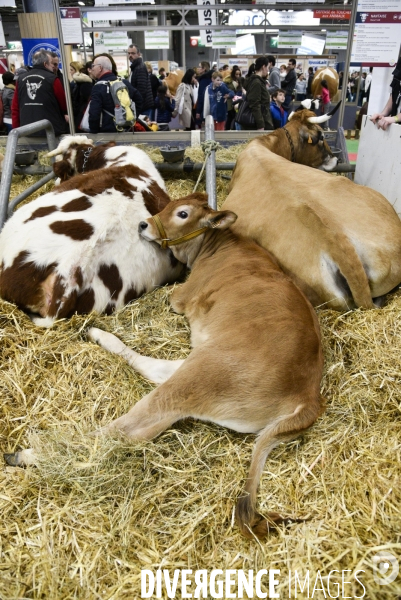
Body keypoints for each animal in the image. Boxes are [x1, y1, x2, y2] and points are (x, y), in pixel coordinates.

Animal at [5, 192, 324, 540]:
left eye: (182, 213)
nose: (144, 224)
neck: (220, 244)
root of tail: (309, 396)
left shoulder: (180, 297)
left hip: (201, 375)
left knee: (125, 428)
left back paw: (27, 453)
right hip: (198, 370)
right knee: (148, 404)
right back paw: (99, 335)